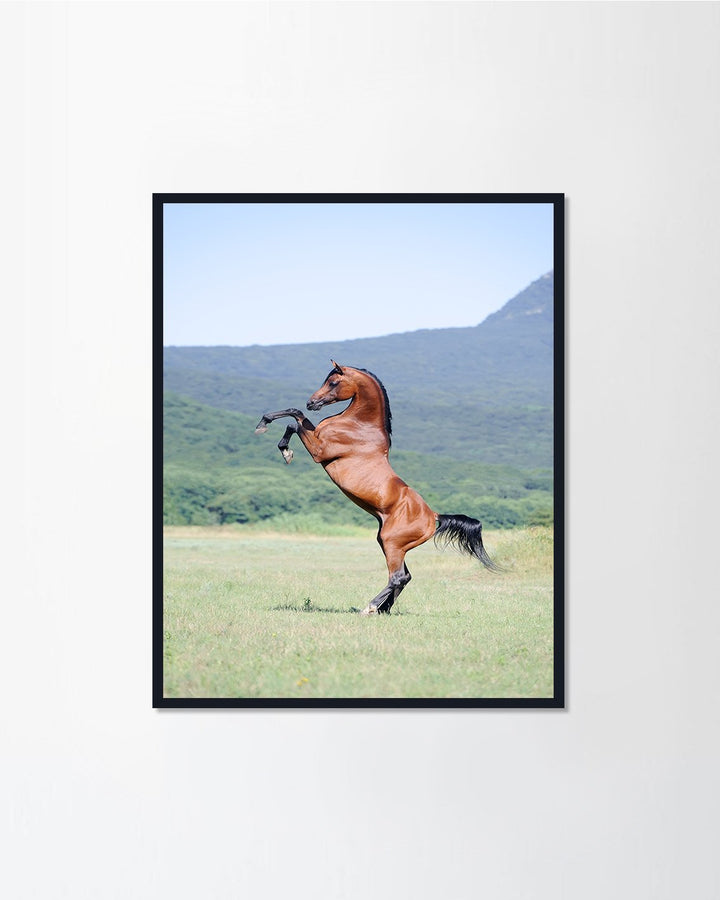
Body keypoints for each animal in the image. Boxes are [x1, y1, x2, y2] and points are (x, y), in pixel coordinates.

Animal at [255, 361, 500, 615]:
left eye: (333, 382)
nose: (311, 402)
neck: (359, 425)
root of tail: (433, 516)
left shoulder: (319, 450)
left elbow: (294, 419)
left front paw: (280, 445)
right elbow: (295, 414)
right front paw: (268, 426)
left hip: (392, 544)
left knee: (397, 577)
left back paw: (370, 607)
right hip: (391, 544)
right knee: (405, 577)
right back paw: (384, 609)